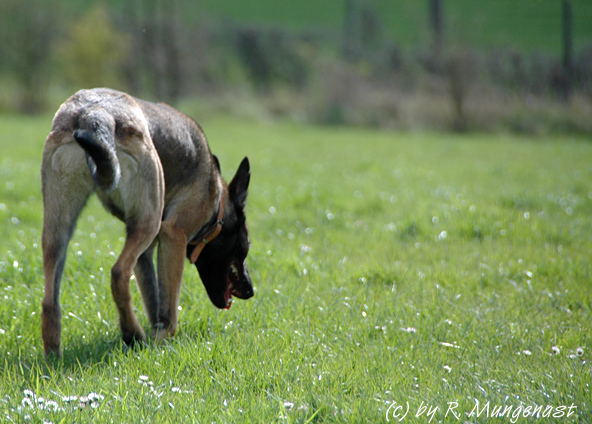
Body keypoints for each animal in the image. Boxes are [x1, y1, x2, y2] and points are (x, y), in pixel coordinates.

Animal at [40, 88, 253, 356]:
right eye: (246, 246)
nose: (251, 290)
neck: (218, 207)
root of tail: (93, 111)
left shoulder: (146, 252)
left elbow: (154, 298)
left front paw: (154, 337)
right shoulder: (173, 235)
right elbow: (169, 309)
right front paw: (161, 340)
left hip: (59, 230)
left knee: (49, 301)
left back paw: (53, 356)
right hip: (148, 222)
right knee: (119, 273)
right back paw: (132, 334)